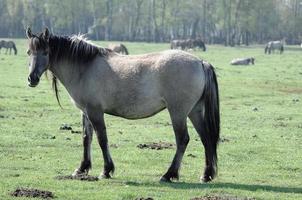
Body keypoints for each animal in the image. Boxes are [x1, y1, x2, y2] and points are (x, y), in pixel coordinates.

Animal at [26, 27, 219, 183]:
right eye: (29, 52)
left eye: (45, 52)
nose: (32, 79)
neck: (85, 67)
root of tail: (200, 62)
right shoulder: (85, 111)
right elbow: (86, 138)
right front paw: (82, 169)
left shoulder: (95, 111)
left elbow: (101, 138)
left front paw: (106, 170)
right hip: (194, 111)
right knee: (205, 138)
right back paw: (206, 174)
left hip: (178, 112)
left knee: (182, 140)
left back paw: (168, 174)